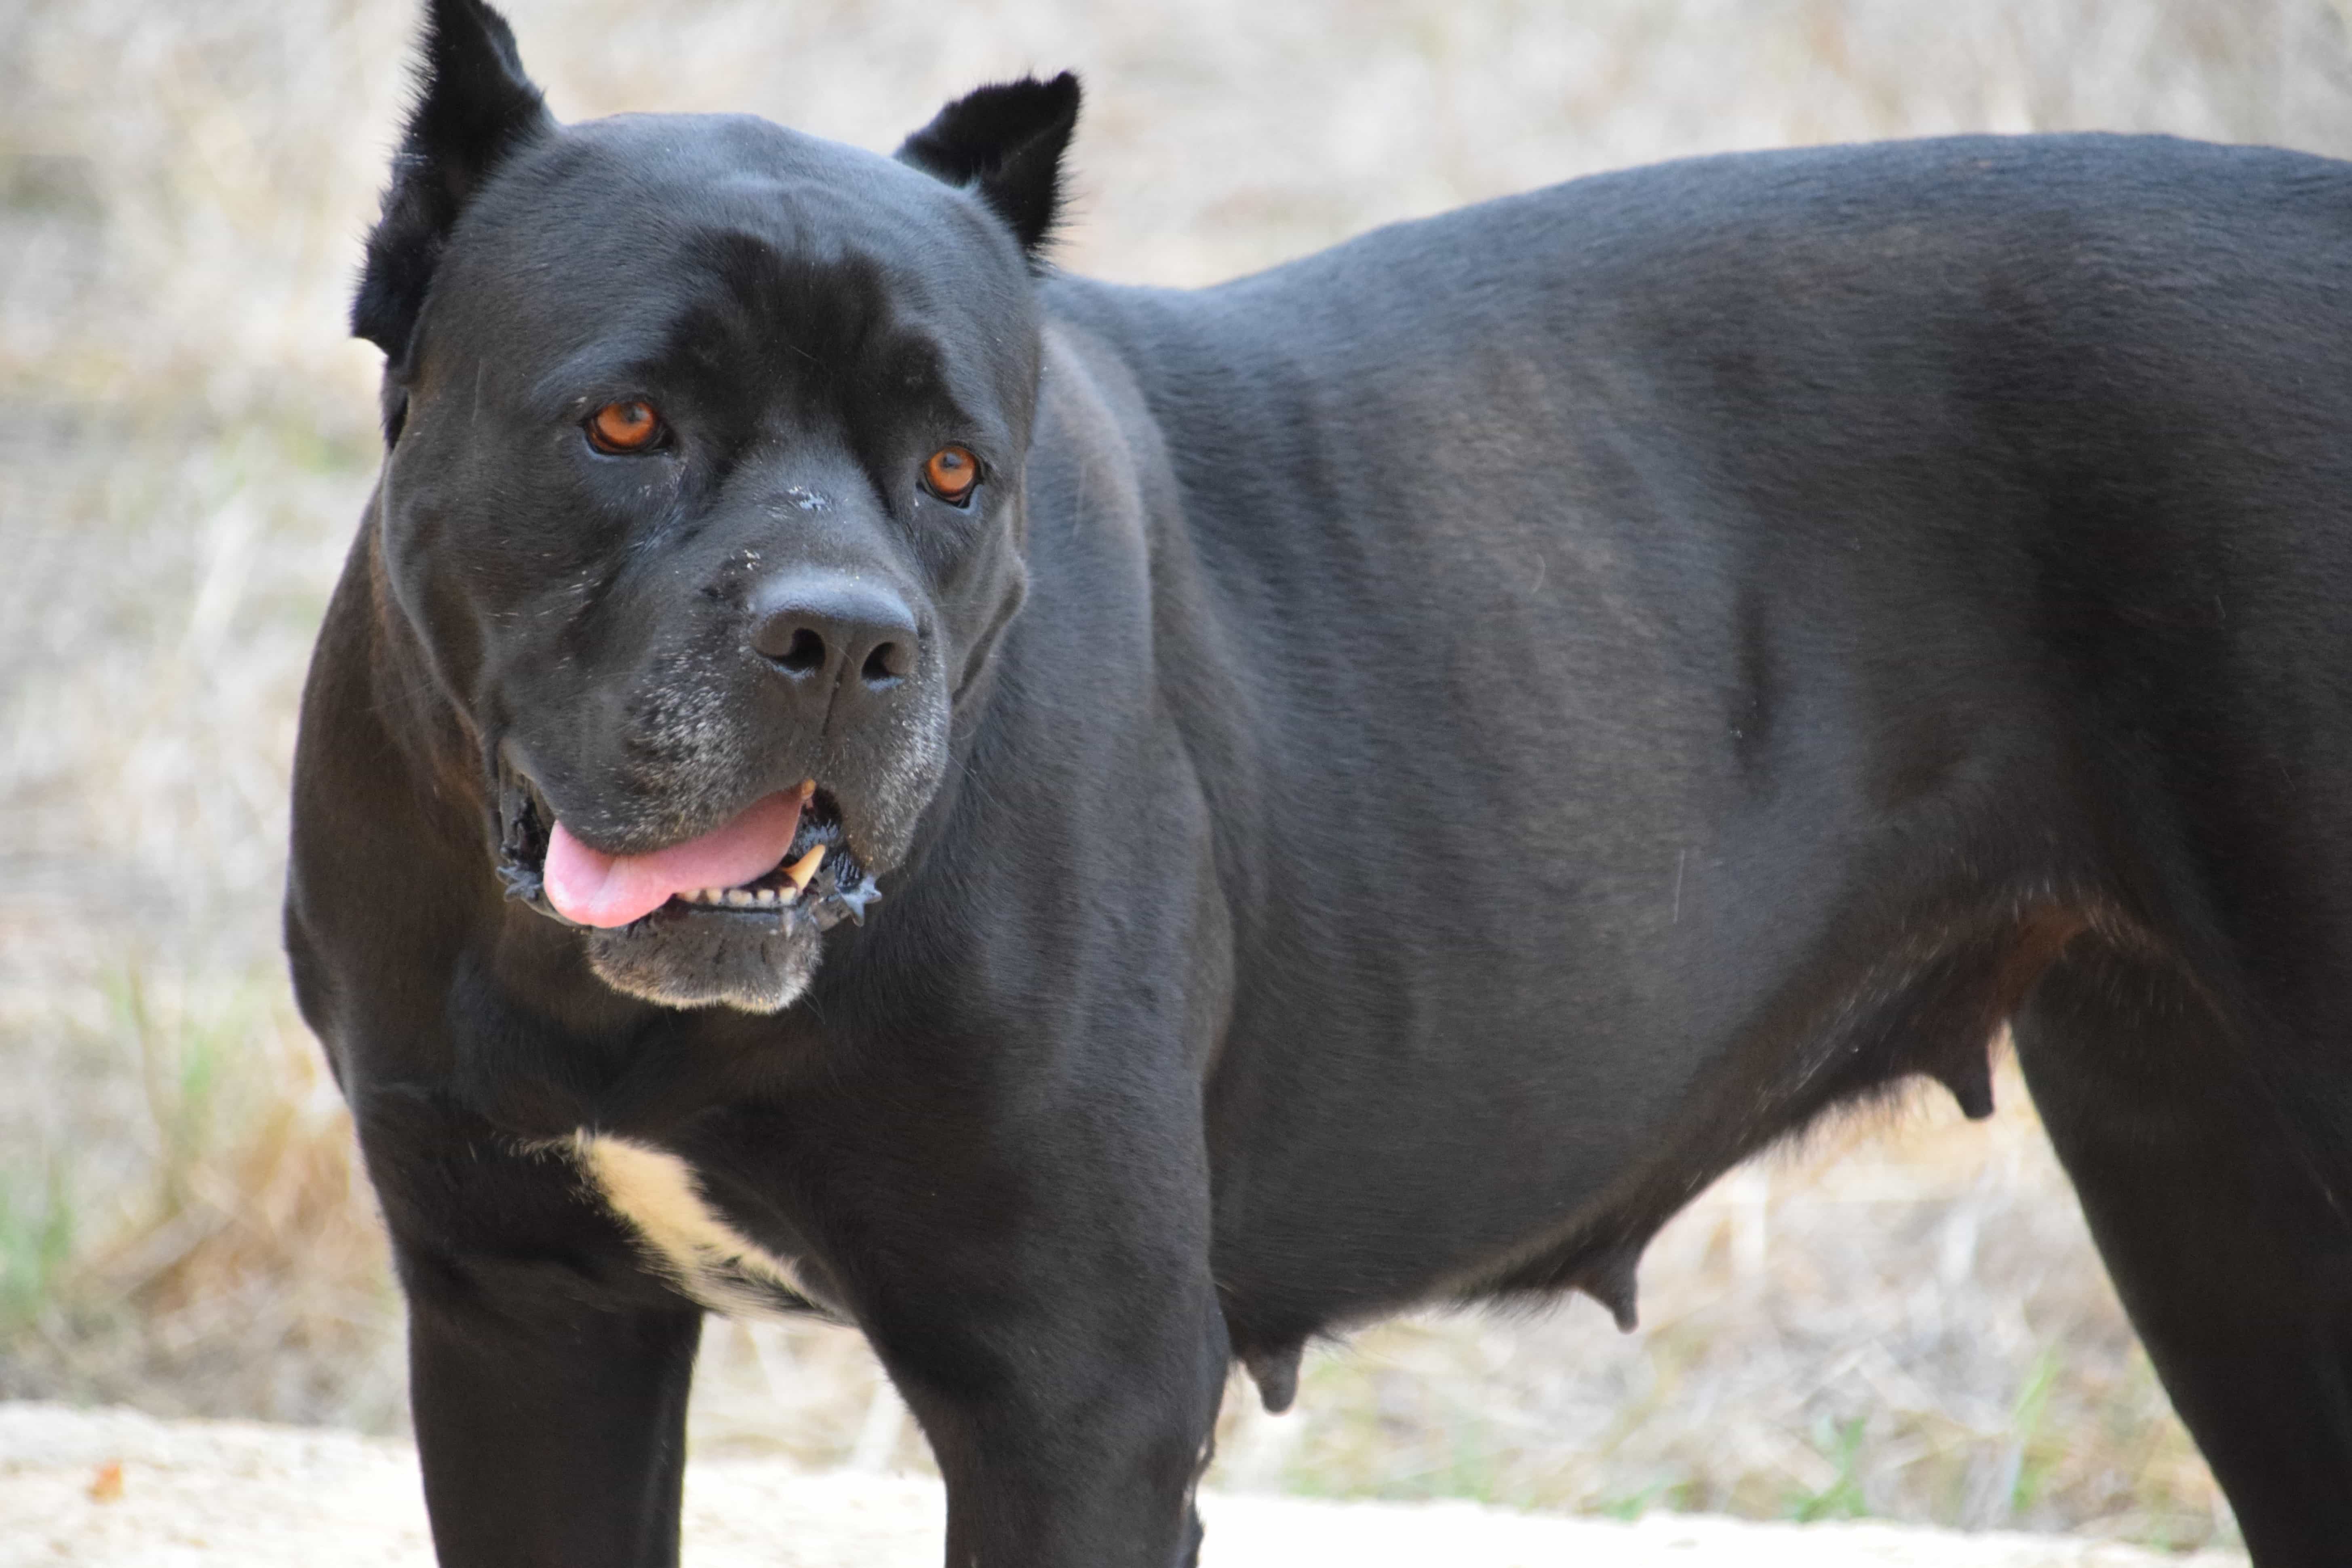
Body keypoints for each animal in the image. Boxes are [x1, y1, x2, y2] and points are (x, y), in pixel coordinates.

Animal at [289, 3, 2352, 1568]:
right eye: (626, 422)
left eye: (954, 470)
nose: (844, 637)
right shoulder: (526, 1322)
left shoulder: (1076, 1394)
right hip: (2211, 1191)